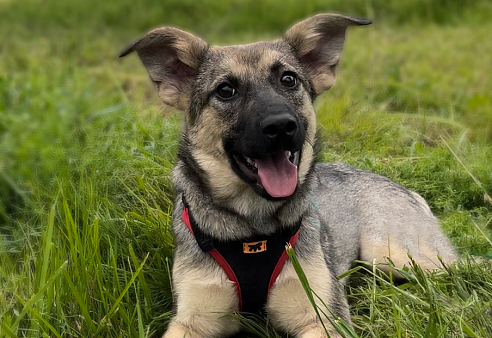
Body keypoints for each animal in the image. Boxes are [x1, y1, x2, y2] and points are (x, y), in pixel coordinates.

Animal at [120, 13, 458, 338]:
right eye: (226, 90)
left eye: (288, 79)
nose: (281, 126)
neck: (253, 228)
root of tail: (405, 189)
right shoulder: (192, 319)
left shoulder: (321, 318)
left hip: (395, 255)